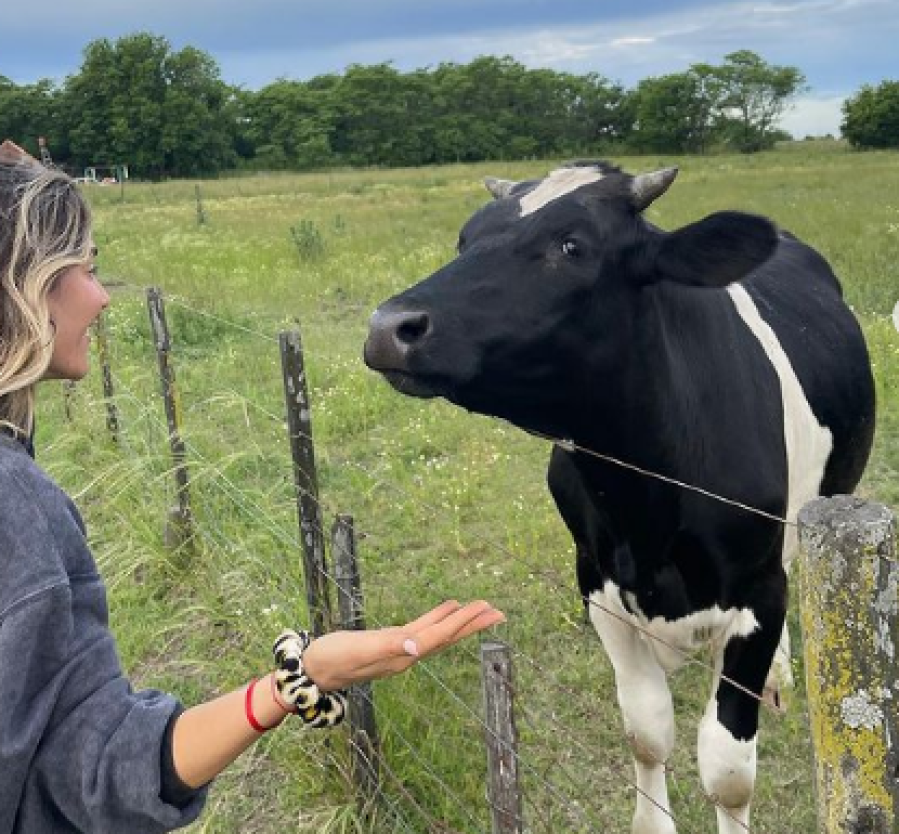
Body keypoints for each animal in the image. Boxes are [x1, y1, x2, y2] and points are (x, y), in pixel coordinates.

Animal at [363, 161, 875, 834]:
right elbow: (647, 732)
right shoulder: (598, 582)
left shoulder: (758, 590)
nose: (388, 328)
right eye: (465, 239)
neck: (647, 505)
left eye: (571, 246)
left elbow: (728, 770)